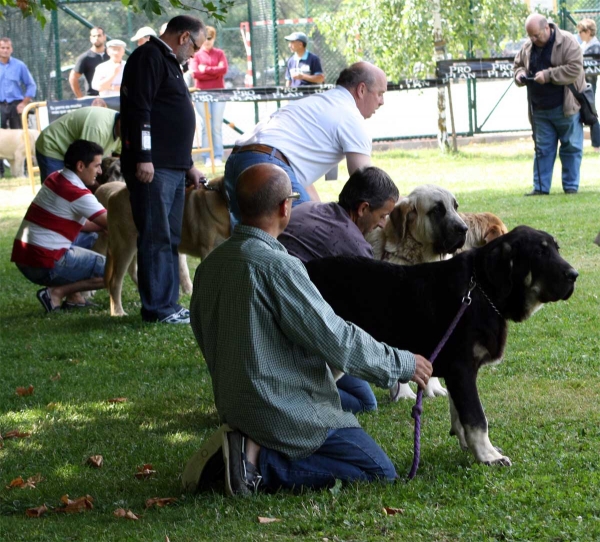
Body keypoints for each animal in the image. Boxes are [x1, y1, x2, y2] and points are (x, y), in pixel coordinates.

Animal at [308, 225, 580, 468]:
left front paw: (470, 447)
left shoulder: (457, 373)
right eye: (540, 253)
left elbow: (460, 414)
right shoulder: (462, 368)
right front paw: (488, 457)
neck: (483, 291)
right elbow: (477, 417)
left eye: (556, 249)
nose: (574, 275)